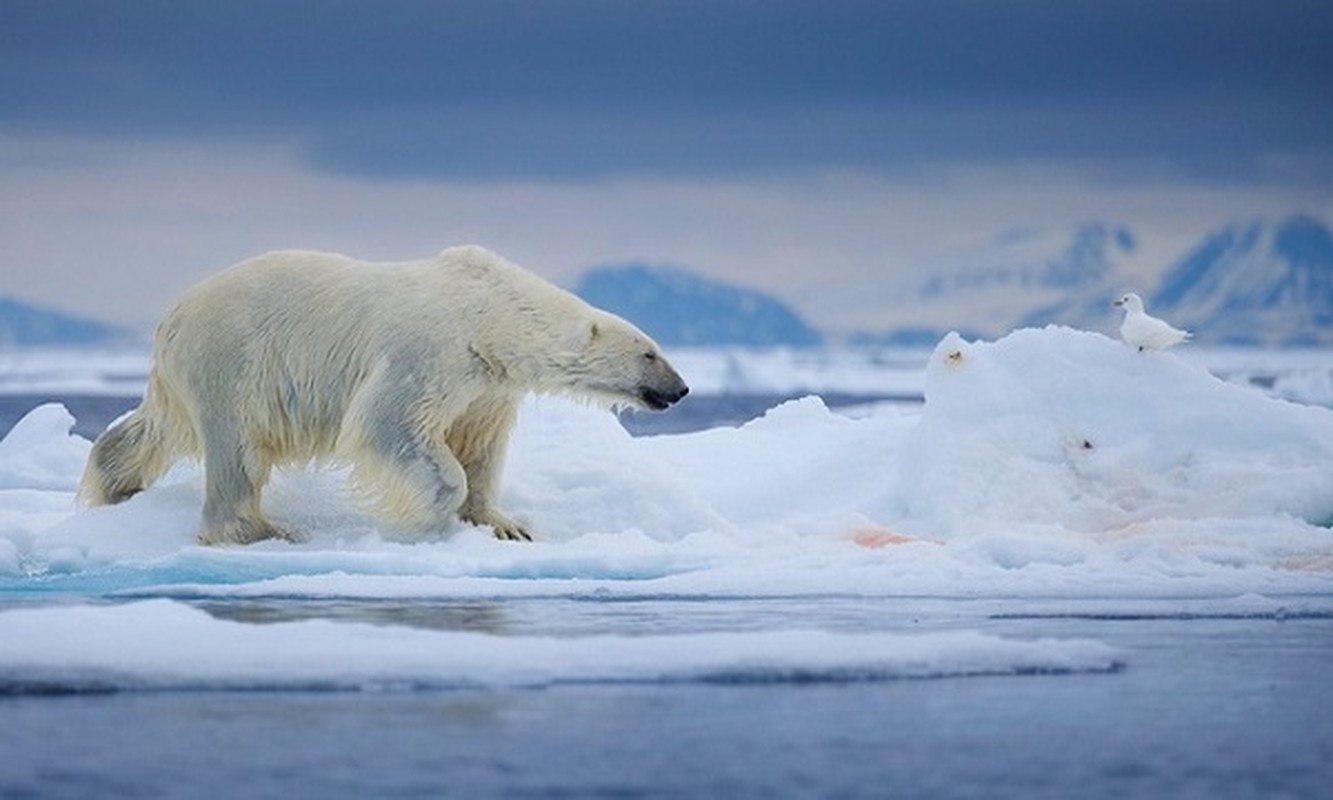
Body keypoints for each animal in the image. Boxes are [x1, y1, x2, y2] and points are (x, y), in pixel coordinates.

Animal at [80, 244, 687, 544]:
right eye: (649, 353)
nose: (680, 389)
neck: (489, 315)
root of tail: (172, 317)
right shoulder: (430, 350)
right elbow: (391, 424)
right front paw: (426, 520)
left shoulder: (487, 386)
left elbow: (480, 447)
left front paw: (505, 525)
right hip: (234, 358)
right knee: (238, 449)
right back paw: (261, 530)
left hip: (188, 375)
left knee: (154, 430)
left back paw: (114, 485)